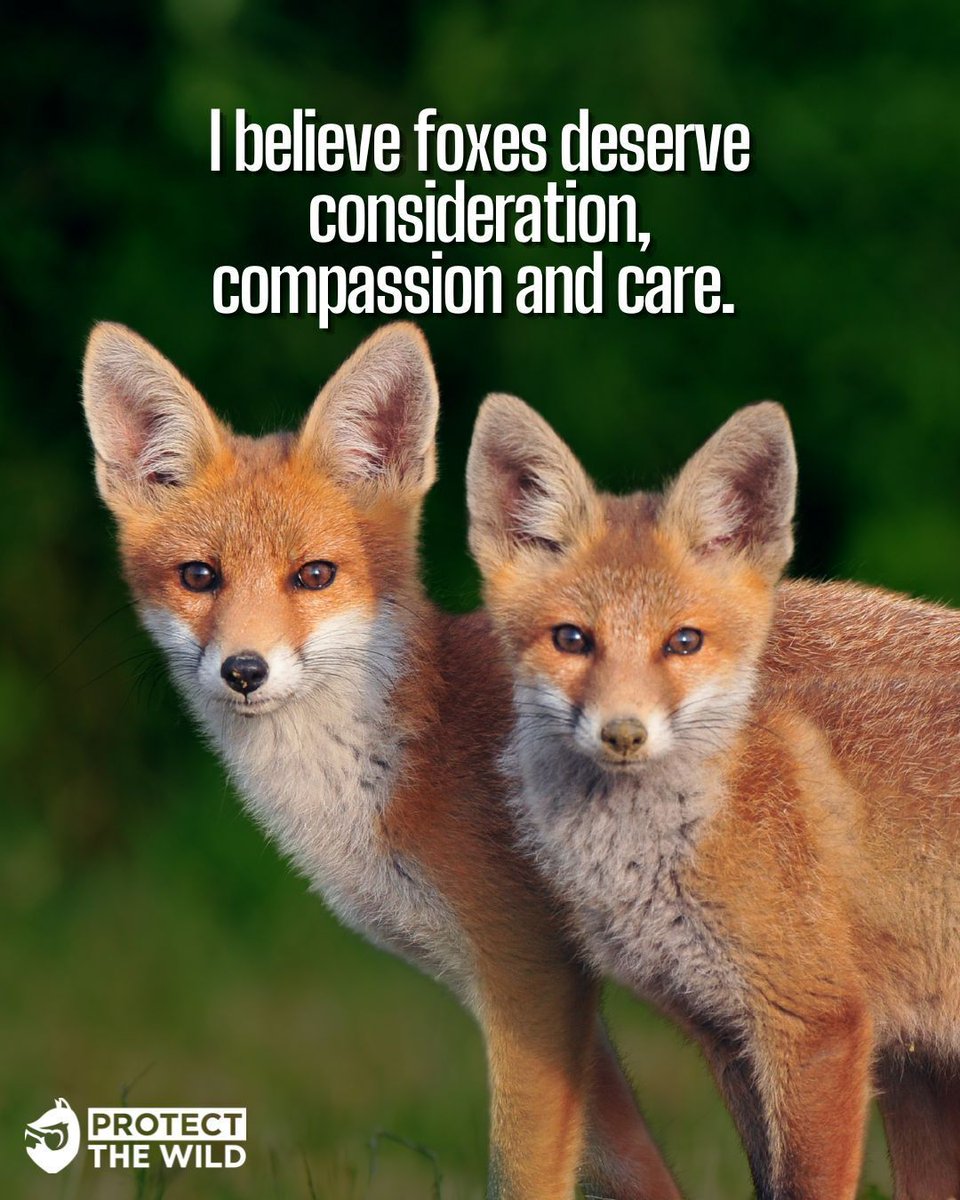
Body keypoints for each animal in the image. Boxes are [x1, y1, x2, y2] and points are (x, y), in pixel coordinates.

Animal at [80, 322, 684, 1200]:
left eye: (314, 575)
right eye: (199, 576)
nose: (244, 670)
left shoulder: (529, 976)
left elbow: (524, 1174)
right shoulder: (552, 999)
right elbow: (637, 1166)